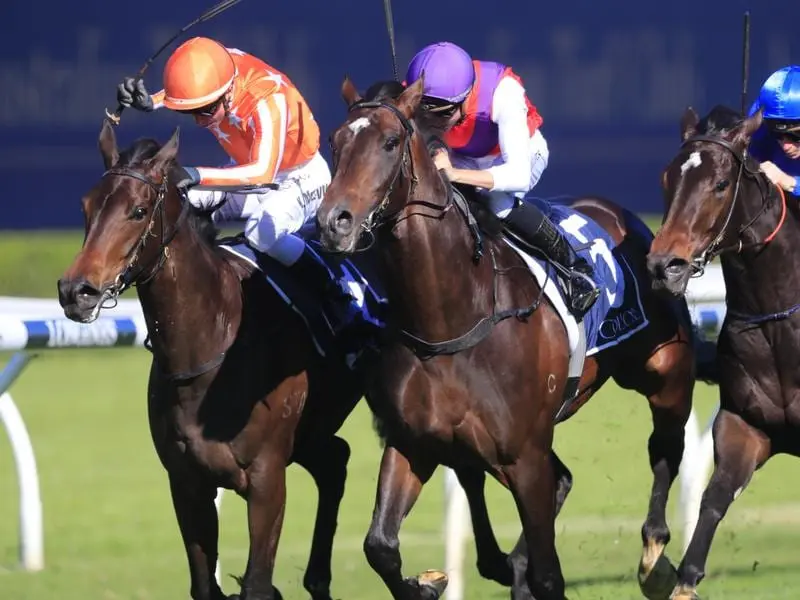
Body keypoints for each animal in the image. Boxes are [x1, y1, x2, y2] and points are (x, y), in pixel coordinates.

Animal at [57, 118, 370, 600]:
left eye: (139, 210)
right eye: (86, 206)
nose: (77, 291)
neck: (211, 348)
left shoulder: (266, 480)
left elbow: (258, 582)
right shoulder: (187, 483)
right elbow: (205, 584)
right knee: (336, 459)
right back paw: (318, 578)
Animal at [316, 75, 704, 600]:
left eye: (390, 142)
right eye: (335, 142)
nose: (333, 222)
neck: (452, 321)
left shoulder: (523, 455)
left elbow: (549, 574)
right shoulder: (415, 442)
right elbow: (380, 546)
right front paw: (429, 583)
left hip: (664, 372)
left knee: (666, 445)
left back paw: (655, 558)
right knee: (561, 479)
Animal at [648, 105, 796, 596]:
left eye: (720, 183)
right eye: (668, 177)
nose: (665, 265)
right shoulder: (745, 424)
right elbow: (715, 497)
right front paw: (680, 577)